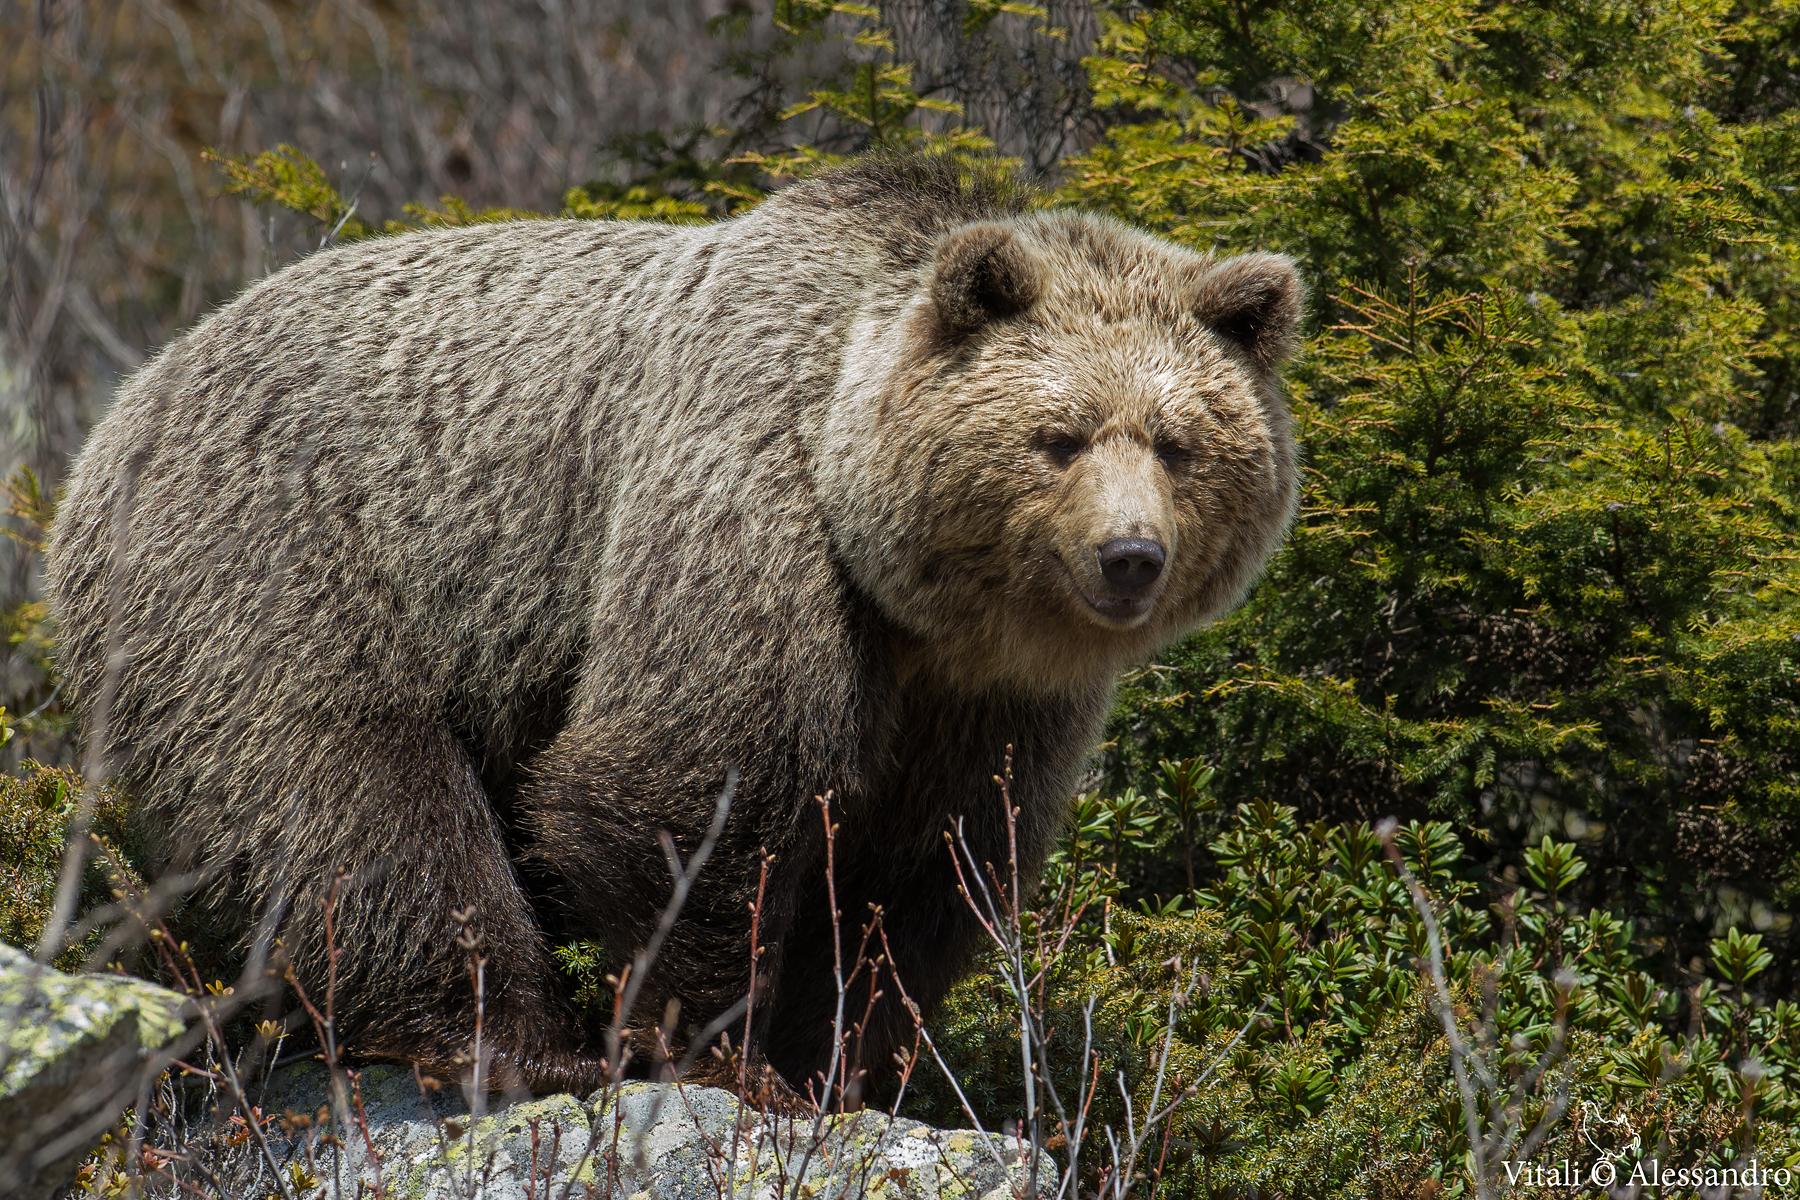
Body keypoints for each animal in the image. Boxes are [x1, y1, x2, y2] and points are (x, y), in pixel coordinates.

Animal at [46, 155, 1302, 1099]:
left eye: (1180, 443)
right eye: (1061, 435)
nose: (1128, 556)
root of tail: (115, 416)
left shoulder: (990, 696)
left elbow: (930, 865)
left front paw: (839, 1060)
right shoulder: (745, 505)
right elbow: (689, 779)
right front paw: (714, 1050)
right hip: (281, 557)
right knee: (353, 792)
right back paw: (509, 1041)